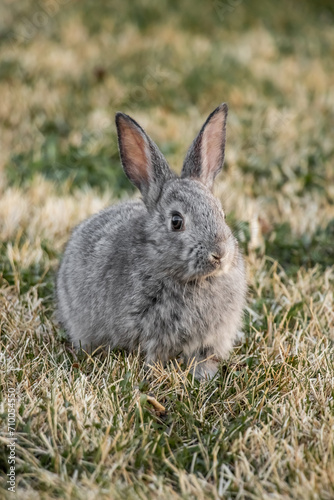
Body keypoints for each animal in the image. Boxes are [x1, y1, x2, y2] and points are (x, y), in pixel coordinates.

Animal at [56, 104, 247, 378]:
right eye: (176, 221)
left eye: (221, 213)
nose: (219, 254)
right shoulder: (150, 331)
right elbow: (154, 355)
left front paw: (205, 375)